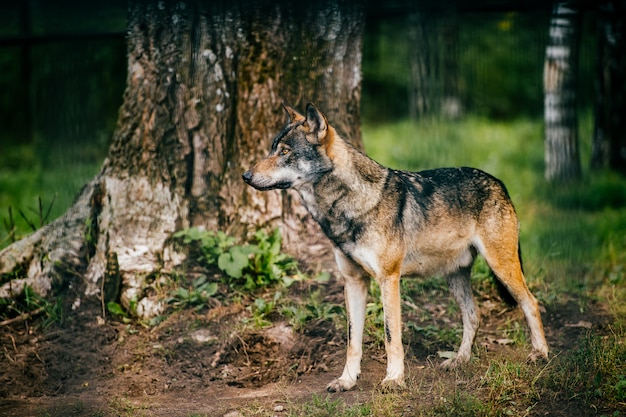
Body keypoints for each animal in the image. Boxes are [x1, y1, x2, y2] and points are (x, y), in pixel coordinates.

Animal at [241, 103, 548, 390]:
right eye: (272, 149)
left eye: (284, 152)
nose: (245, 175)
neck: (348, 207)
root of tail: (499, 182)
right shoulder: (353, 282)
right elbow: (352, 341)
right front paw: (347, 380)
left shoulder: (388, 279)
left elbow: (391, 336)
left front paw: (394, 379)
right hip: (455, 276)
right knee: (474, 315)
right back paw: (459, 360)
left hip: (501, 267)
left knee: (530, 302)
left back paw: (541, 354)